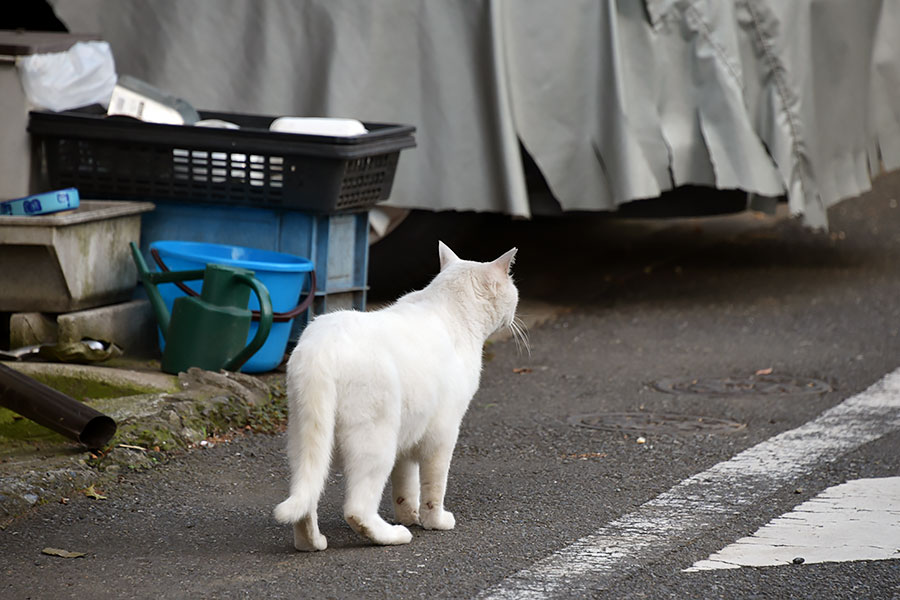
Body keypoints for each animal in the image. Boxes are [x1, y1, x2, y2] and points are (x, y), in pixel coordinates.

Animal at [272, 241, 520, 552]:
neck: (452, 311)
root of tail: (321, 347)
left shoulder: (409, 435)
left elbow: (405, 485)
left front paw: (409, 515)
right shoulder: (443, 432)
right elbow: (434, 486)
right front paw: (434, 521)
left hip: (303, 438)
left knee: (306, 495)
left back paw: (312, 542)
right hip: (376, 441)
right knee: (357, 508)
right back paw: (392, 535)